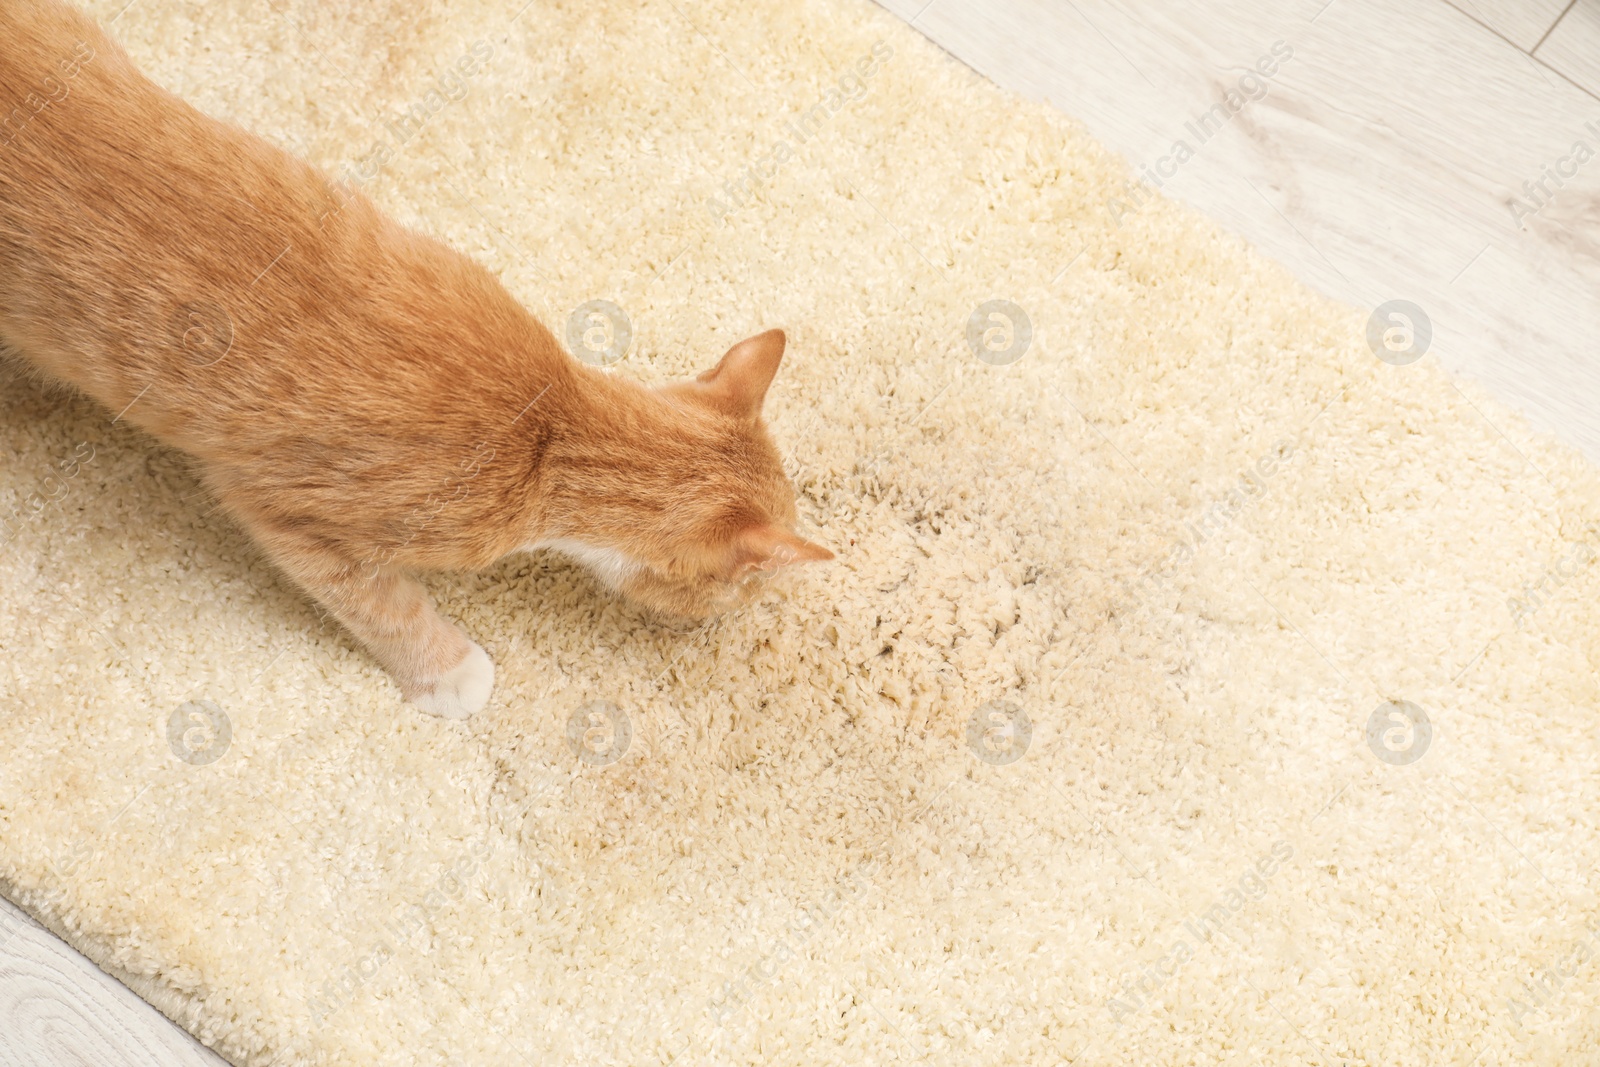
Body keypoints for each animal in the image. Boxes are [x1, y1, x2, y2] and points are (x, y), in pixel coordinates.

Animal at [0, 0, 825, 723]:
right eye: (748, 593)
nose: (733, 616)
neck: (549, 427)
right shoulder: (282, 509)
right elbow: (382, 603)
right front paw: (448, 673)